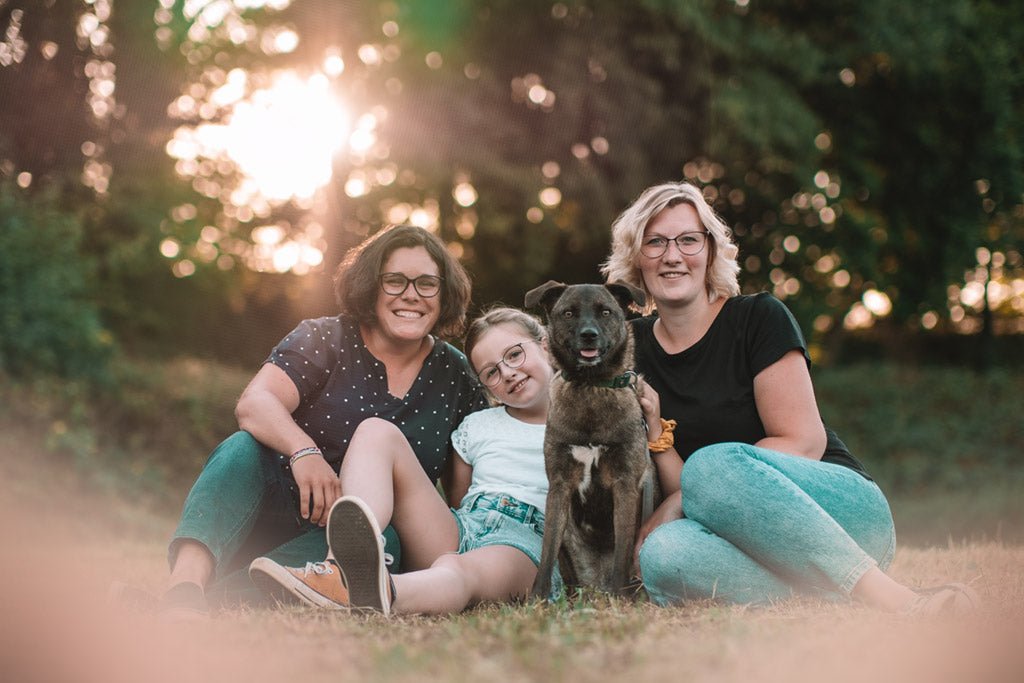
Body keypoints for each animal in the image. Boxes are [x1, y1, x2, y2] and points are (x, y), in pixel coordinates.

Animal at [524, 280, 659, 593]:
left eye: (606, 311)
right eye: (569, 313)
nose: (589, 335)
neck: (591, 386)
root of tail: (596, 584)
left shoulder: (625, 484)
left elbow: (623, 551)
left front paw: (619, 596)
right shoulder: (559, 485)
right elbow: (546, 552)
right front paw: (538, 597)